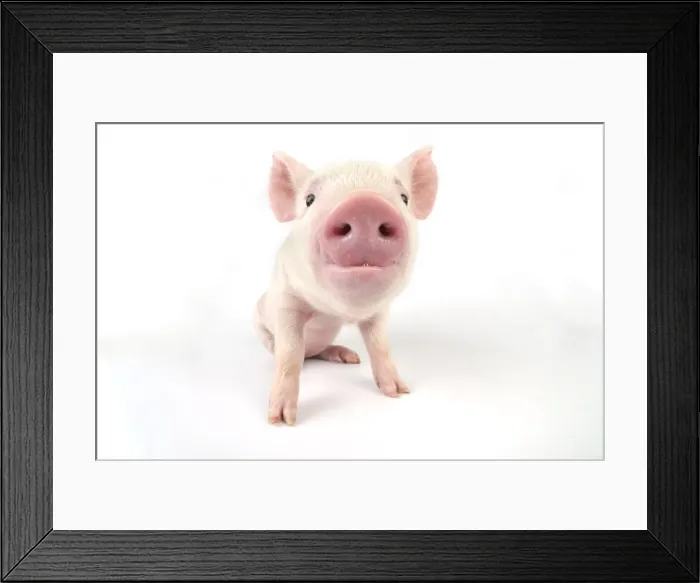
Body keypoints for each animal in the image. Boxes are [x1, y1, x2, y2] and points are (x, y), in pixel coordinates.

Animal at [254, 147, 438, 425]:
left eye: (404, 198)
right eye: (309, 199)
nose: (366, 205)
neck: (339, 311)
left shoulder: (379, 312)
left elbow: (380, 346)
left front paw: (399, 392)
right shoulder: (287, 299)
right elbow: (290, 352)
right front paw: (282, 420)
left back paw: (349, 357)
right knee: (292, 351)